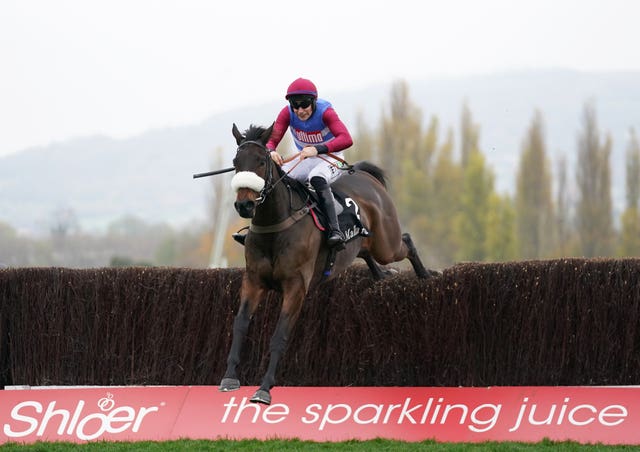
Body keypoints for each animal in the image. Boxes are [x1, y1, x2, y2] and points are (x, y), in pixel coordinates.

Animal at [218, 122, 432, 402]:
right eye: (236, 162)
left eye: (261, 162)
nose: (244, 205)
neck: (276, 225)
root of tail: (367, 177)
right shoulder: (253, 280)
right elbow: (240, 325)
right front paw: (229, 377)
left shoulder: (296, 287)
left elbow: (279, 336)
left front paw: (264, 389)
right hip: (364, 243)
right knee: (364, 251)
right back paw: (383, 274)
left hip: (386, 243)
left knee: (404, 241)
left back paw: (425, 275)